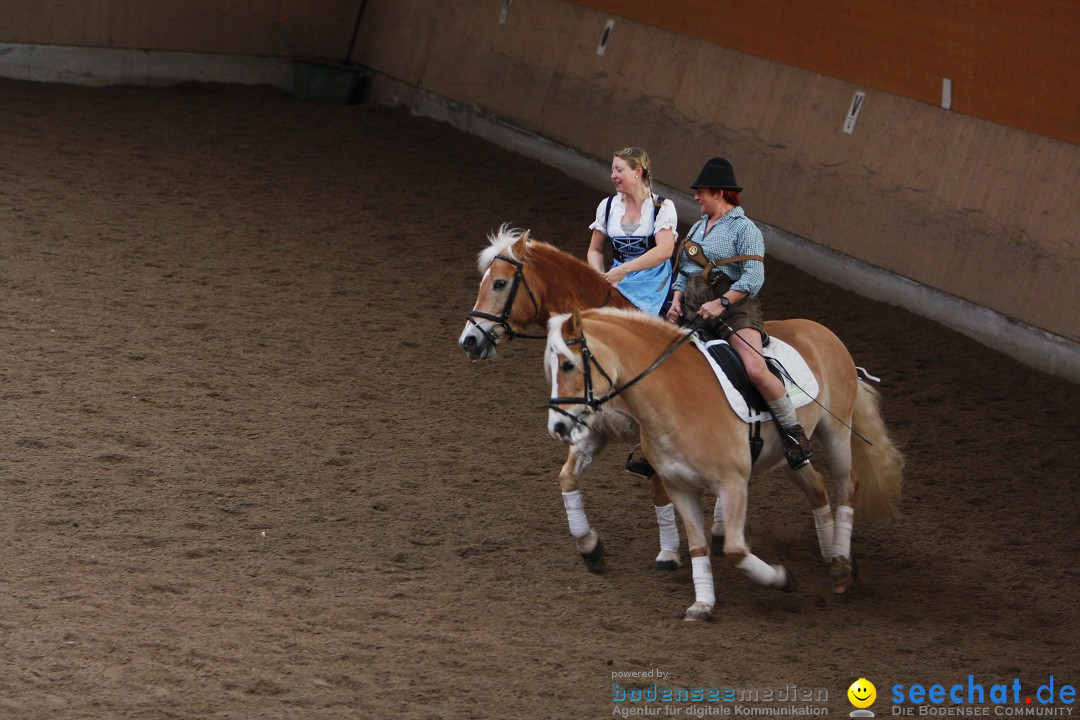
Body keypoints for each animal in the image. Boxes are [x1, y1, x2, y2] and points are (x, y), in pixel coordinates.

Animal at [457, 225, 682, 574]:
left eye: (499, 283)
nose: (468, 340)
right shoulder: (590, 426)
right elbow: (568, 477)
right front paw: (589, 546)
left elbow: (661, 491)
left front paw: (669, 553)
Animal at [548, 306, 902, 621]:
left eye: (568, 365)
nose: (558, 426)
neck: (675, 396)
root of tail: (821, 330)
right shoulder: (677, 484)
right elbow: (697, 546)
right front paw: (702, 604)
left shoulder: (732, 484)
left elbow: (735, 549)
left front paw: (782, 578)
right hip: (789, 457)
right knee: (817, 490)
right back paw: (832, 555)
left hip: (836, 429)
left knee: (846, 485)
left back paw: (840, 564)